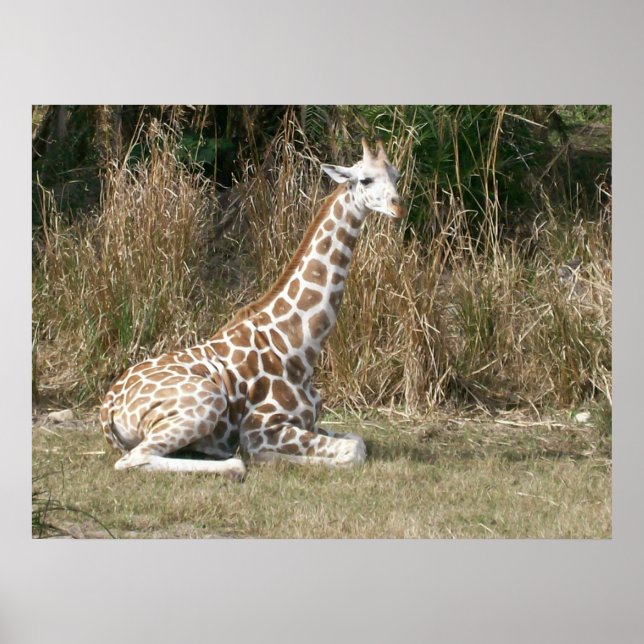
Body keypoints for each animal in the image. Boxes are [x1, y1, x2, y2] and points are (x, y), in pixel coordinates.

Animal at [99, 138, 405, 479]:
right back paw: (234, 463)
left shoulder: (310, 421)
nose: (398, 208)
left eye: (397, 176)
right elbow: (351, 452)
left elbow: (358, 440)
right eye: (365, 180)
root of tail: (108, 408)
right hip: (206, 401)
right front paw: (268, 458)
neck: (298, 347)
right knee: (135, 459)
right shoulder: (262, 428)